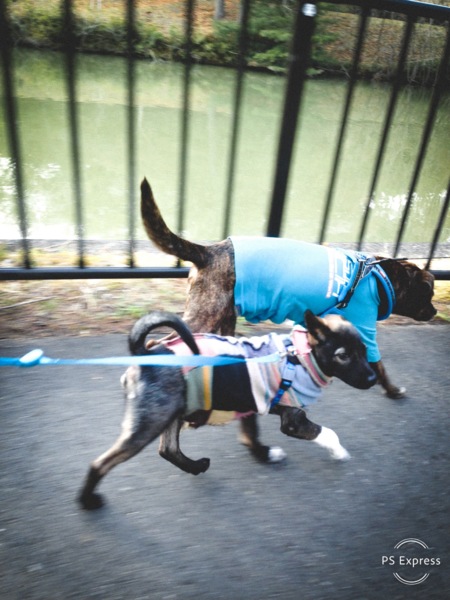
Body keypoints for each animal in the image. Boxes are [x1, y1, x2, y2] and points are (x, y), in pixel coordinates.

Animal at [78, 310, 377, 509]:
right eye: (343, 355)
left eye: (364, 350)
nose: (374, 379)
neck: (301, 356)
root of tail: (145, 353)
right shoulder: (293, 419)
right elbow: (328, 433)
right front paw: (339, 452)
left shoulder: (254, 403)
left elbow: (249, 436)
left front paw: (264, 454)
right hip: (151, 420)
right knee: (101, 462)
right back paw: (87, 499)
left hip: (171, 410)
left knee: (168, 449)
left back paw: (196, 466)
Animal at [140, 178, 436, 402]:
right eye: (429, 294)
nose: (434, 311)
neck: (379, 276)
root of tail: (210, 251)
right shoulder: (365, 330)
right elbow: (379, 366)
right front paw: (392, 389)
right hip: (205, 317)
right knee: (160, 343)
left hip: (222, 318)